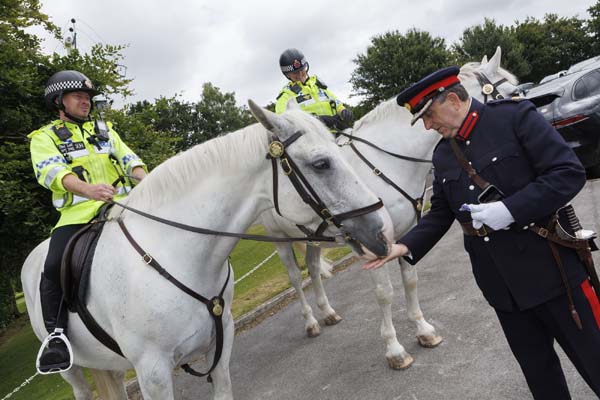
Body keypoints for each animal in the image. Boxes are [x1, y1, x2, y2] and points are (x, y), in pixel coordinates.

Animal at [21, 98, 394, 398]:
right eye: (321, 164)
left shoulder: (220, 346)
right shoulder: (153, 373)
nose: (383, 230)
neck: (175, 254)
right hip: (73, 370)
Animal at [260, 47, 524, 368]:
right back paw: (310, 321)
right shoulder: (373, 243)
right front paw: (394, 348)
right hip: (280, 241)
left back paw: (327, 312)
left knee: (311, 268)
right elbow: (384, 293)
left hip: (312, 239)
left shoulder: (403, 235)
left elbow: (410, 279)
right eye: (512, 93)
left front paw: (423, 330)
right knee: (297, 279)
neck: (385, 164)